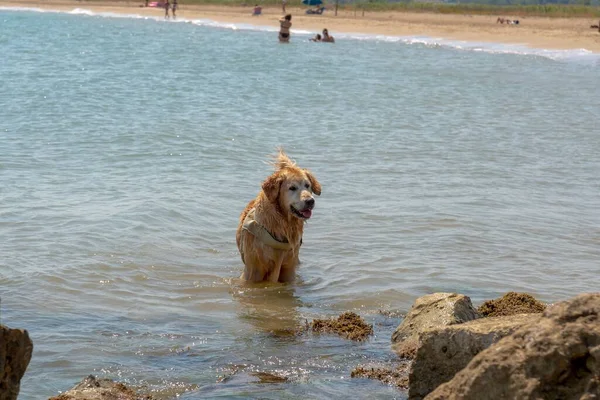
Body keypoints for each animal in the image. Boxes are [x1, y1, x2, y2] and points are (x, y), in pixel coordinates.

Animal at [238, 150, 324, 284]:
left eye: (307, 185)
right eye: (292, 188)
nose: (310, 201)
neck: (282, 223)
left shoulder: (288, 268)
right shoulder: (253, 271)